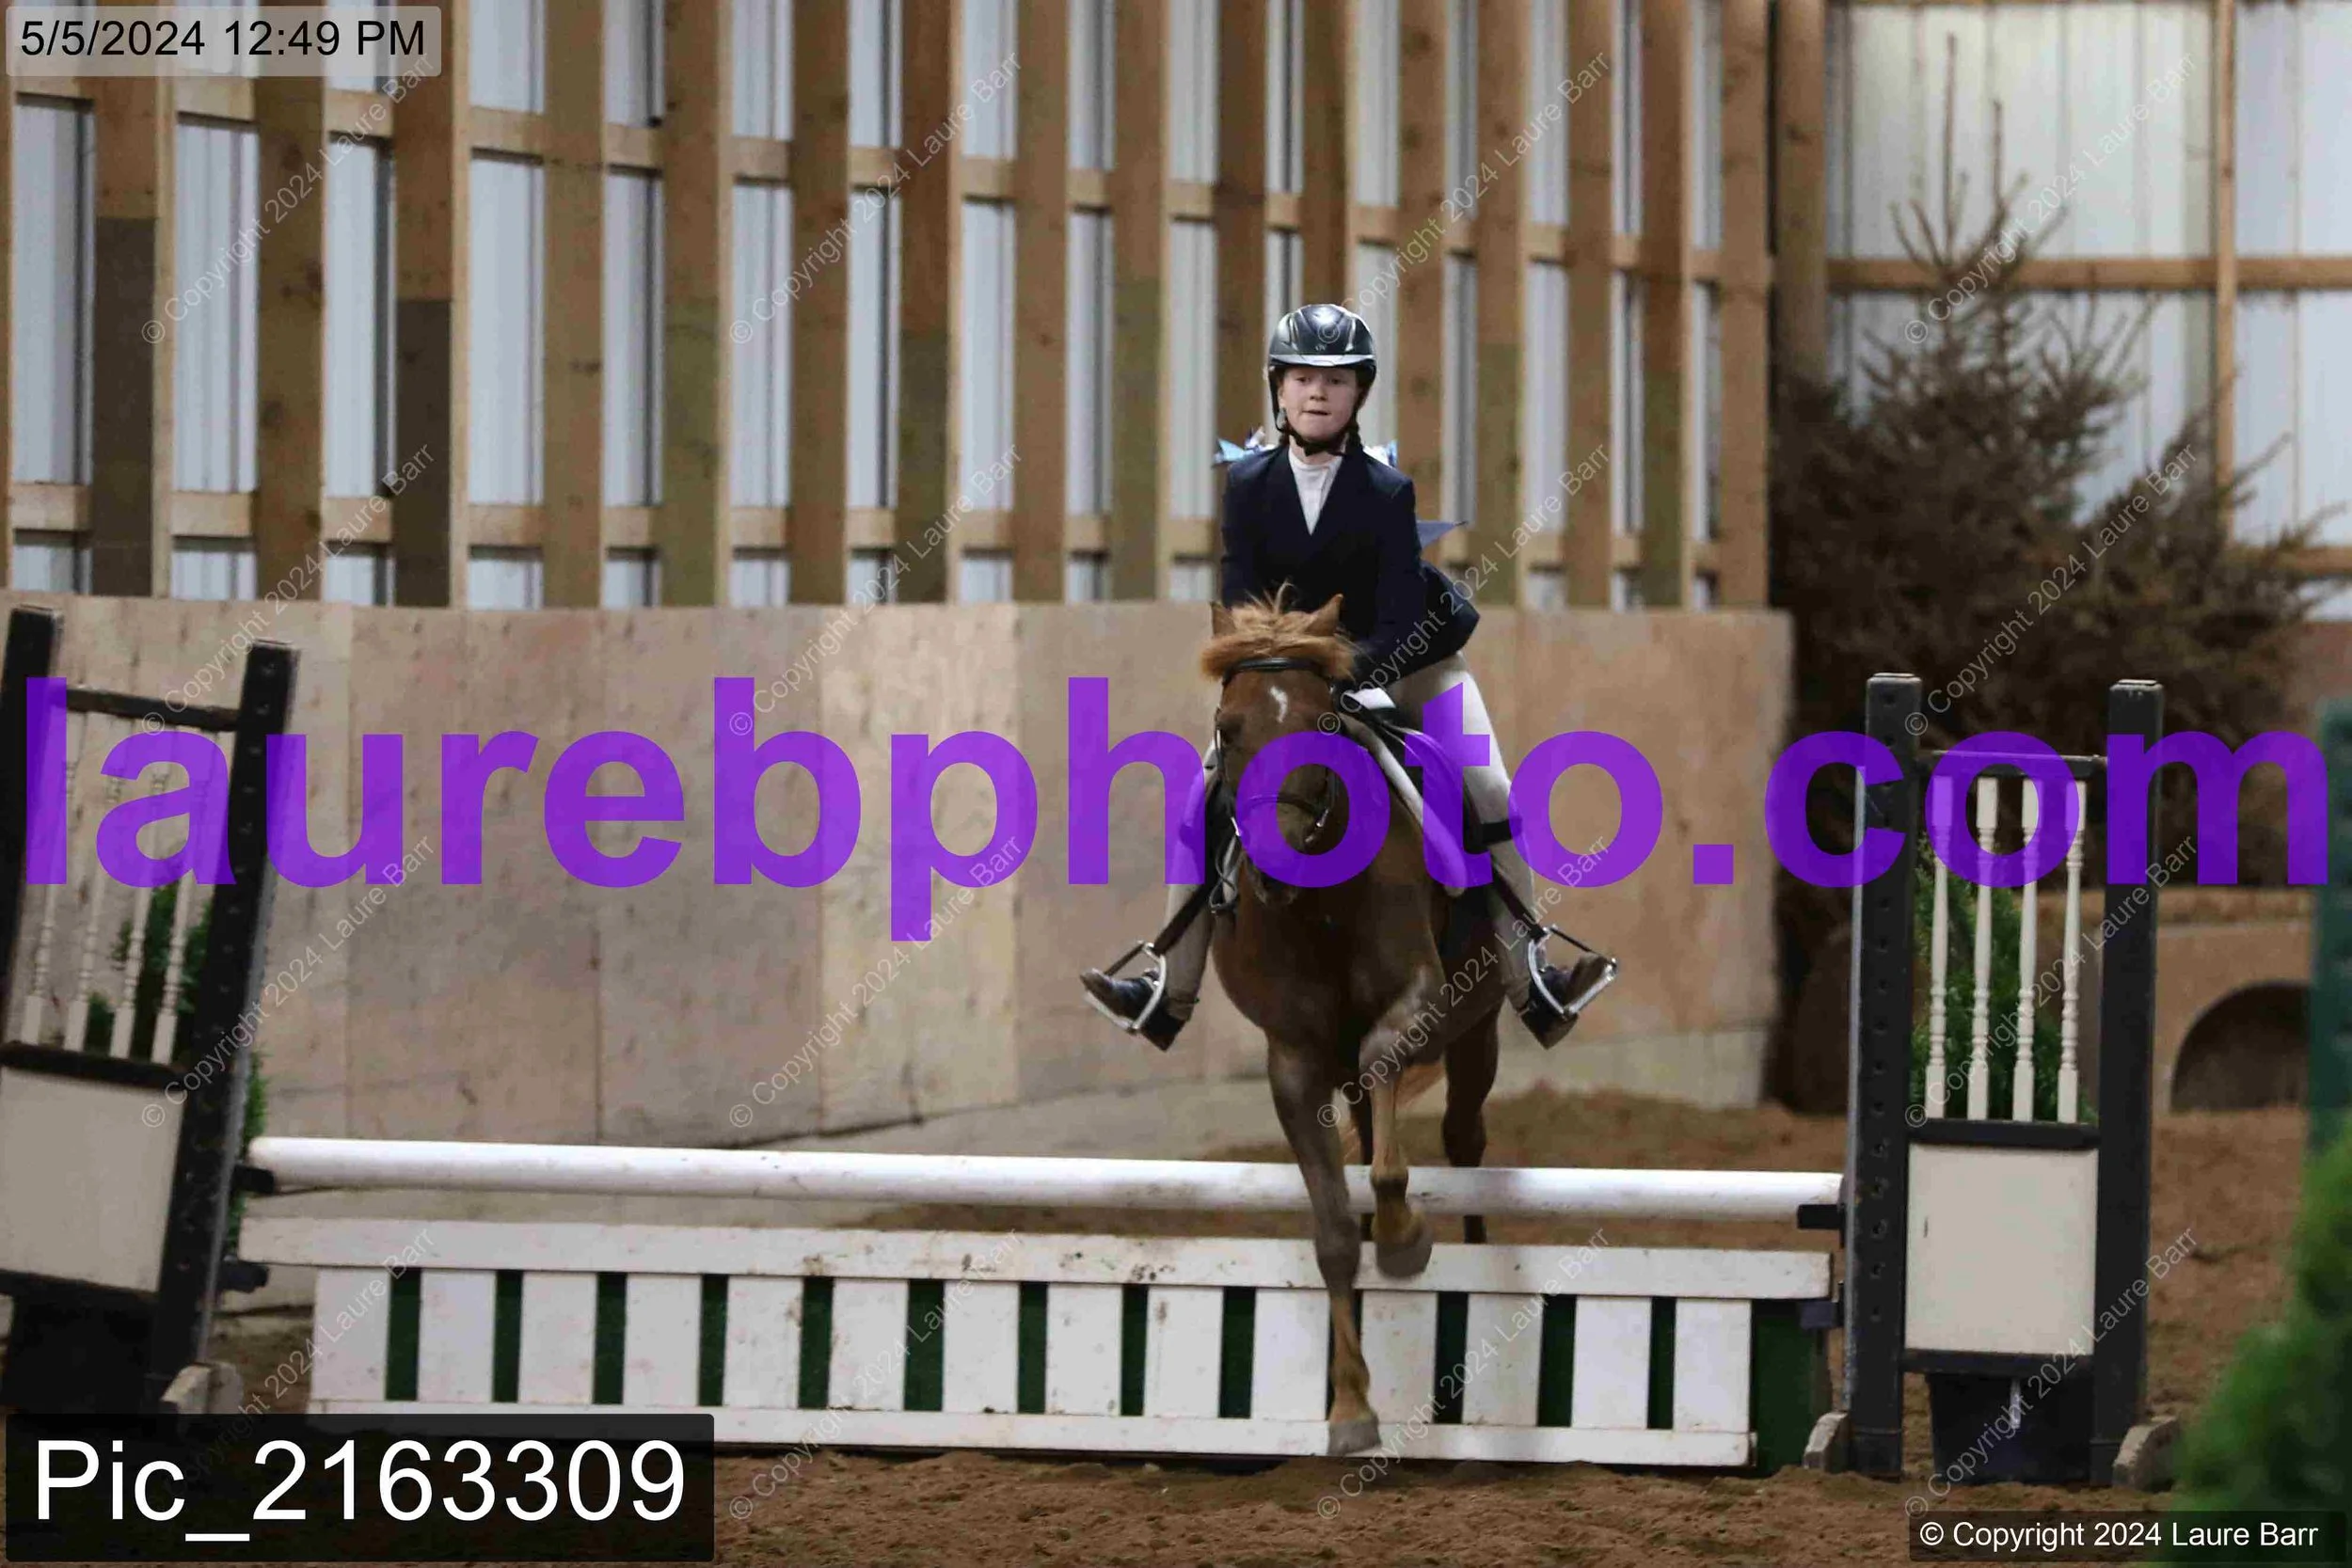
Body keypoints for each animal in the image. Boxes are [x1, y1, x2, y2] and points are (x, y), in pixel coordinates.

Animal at [1201, 594, 1508, 1457]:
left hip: (1479, 1031)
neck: (1320, 908)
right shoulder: (1296, 1063)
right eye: (1229, 727)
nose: (1272, 868)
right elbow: (1335, 1231)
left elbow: (1384, 1080)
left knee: (1462, 1140)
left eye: (1323, 722)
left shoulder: (1421, 999)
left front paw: (1406, 1240)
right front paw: (1349, 1409)